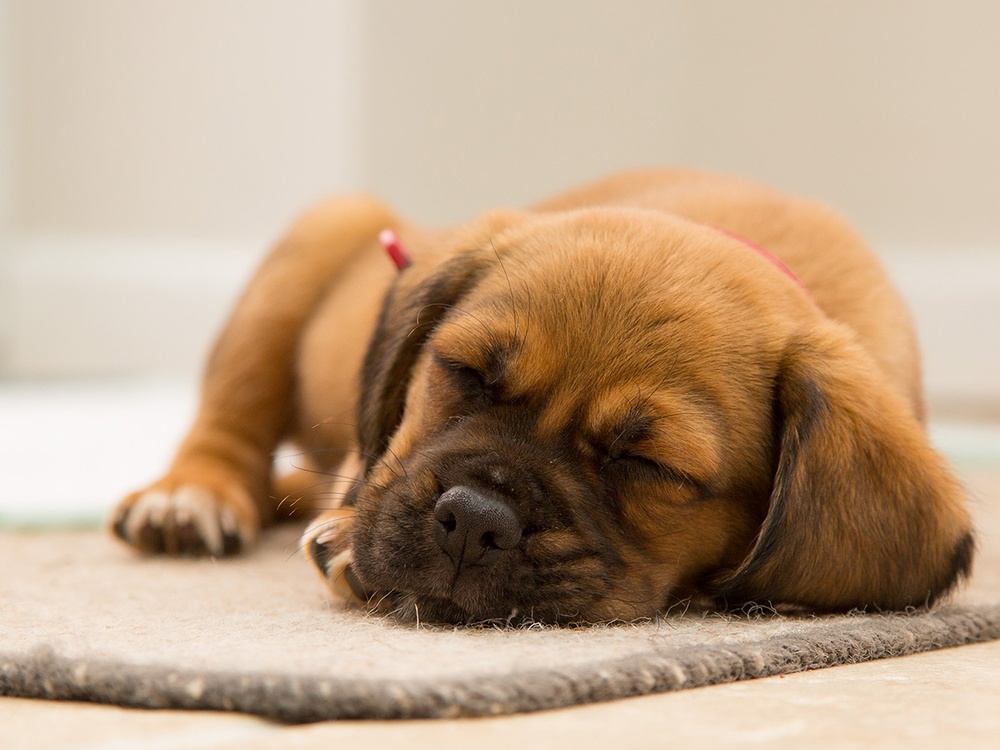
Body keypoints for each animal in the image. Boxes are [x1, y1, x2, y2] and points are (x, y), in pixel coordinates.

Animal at [111, 172, 976, 628]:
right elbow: (369, 465)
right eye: (462, 372)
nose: (474, 521)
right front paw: (348, 534)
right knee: (230, 424)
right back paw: (191, 496)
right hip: (311, 249)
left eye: (648, 464)